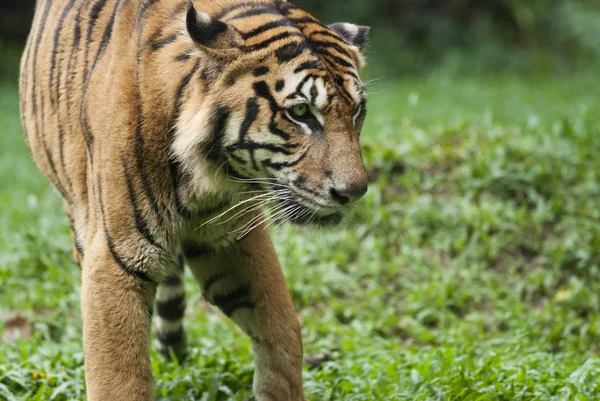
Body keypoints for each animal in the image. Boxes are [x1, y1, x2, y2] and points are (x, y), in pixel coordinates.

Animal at [19, 0, 370, 398]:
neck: (208, 180)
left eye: (357, 110)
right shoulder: (115, 261)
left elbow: (283, 329)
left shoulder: (234, 238)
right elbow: (120, 378)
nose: (354, 192)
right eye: (300, 113)